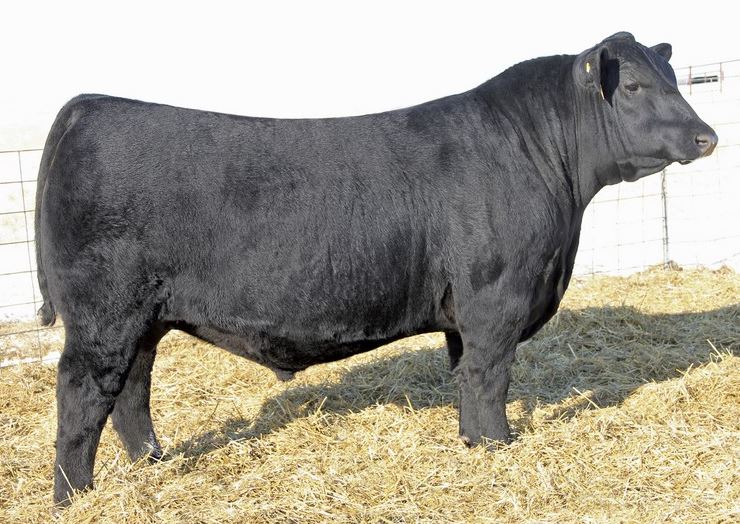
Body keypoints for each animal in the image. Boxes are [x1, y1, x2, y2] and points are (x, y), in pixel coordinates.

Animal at [36, 32, 717, 505]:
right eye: (633, 86)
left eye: (672, 78)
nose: (707, 137)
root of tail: (89, 105)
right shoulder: (497, 300)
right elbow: (490, 378)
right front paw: (498, 446)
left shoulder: (465, 314)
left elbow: (466, 377)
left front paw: (472, 442)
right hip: (102, 317)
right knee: (82, 396)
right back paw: (75, 497)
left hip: (142, 317)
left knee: (131, 392)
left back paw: (153, 462)